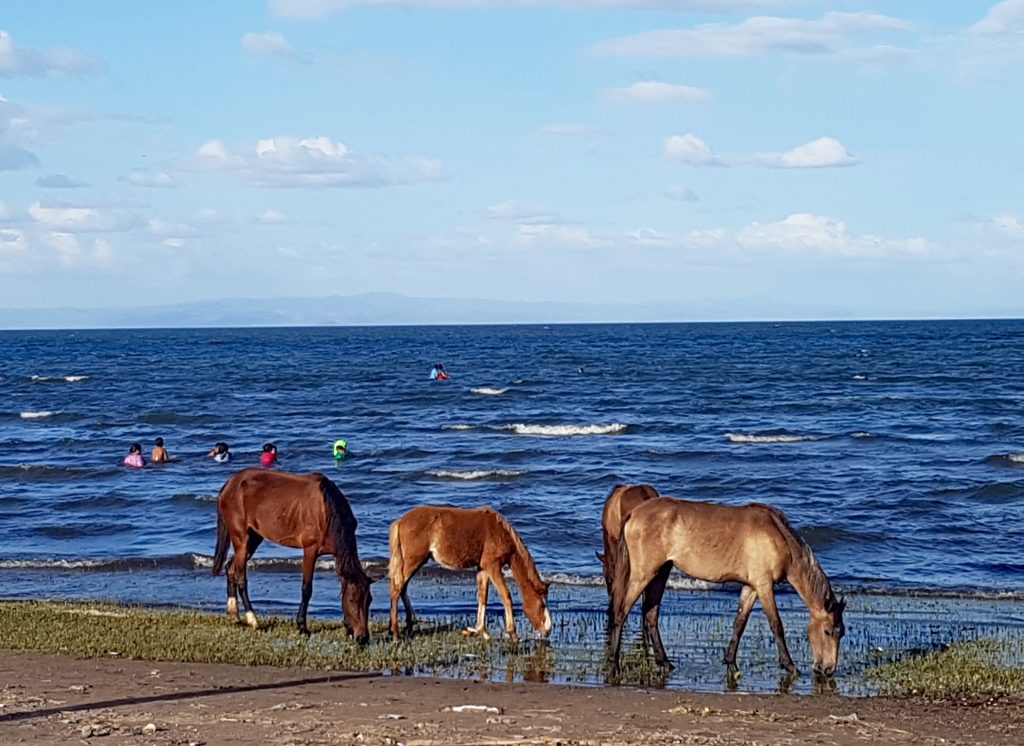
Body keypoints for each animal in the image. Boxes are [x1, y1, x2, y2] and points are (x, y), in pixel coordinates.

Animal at [210, 468, 372, 642]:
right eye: (352, 600)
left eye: (369, 600)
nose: (363, 638)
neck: (326, 510)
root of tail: (230, 483)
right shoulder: (310, 550)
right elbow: (306, 589)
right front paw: (302, 626)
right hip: (241, 538)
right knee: (241, 579)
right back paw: (253, 620)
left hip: (254, 538)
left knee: (230, 568)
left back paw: (234, 615)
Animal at [389, 503, 552, 642]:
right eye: (542, 605)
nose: (548, 631)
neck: (499, 533)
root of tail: (401, 521)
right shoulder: (493, 566)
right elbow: (506, 596)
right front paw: (513, 634)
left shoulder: (483, 569)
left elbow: (482, 596)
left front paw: (482, 631)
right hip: (413, 561)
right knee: (397, 589)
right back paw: (395, 633)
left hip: (418, 562)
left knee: (402, 589)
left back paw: (408, 623)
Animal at [606, 497, 847, 679]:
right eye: (828, 631)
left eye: (841, 633)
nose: (827, 670)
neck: (779, 537)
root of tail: (634, 513)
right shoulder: (763, 585)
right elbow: (776, 625)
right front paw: (790, 666)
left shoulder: (751, 587)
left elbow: (739, 623)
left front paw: (730, 662)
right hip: (643, 574)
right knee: (621, 612)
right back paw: (614, 665)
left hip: (661, 572)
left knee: (650, 615)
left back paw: (665, 663)